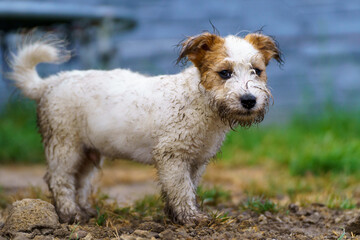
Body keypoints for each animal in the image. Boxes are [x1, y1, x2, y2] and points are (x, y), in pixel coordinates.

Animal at [7, 31, 282, 224]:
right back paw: (69, 214)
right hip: (64, 144)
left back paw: (85, 210)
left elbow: (186, 188)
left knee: (79, 181)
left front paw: (176, 215)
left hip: (87, 151)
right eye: (224, 73)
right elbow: (181, 189)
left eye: (257, 71)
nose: (249, 100)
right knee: (60, 179)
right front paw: (190, 218)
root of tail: (50, 84)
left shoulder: (196, 161)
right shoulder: (172, 156)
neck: (201, 102)